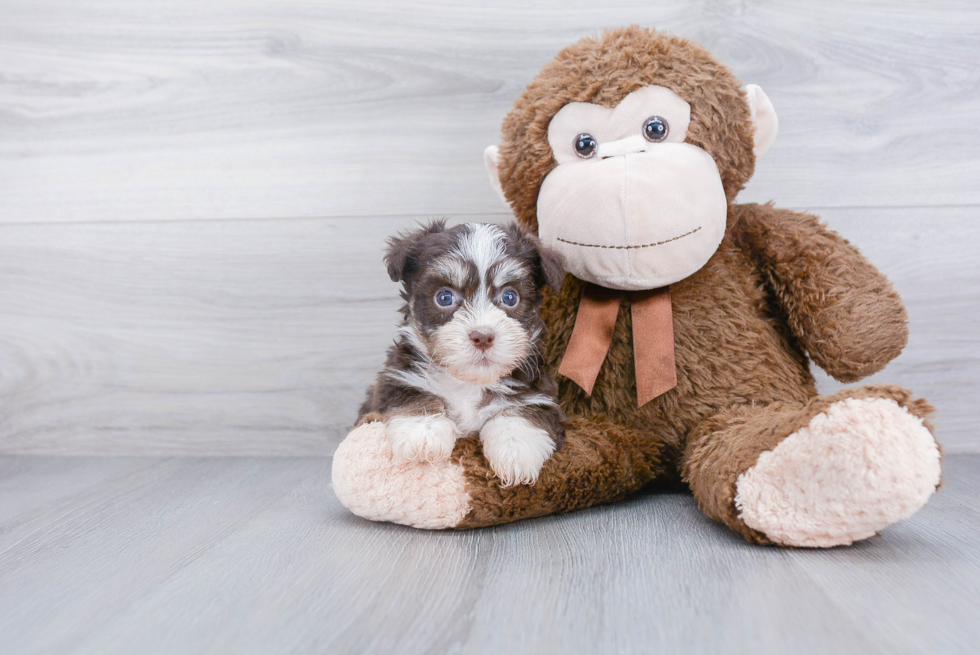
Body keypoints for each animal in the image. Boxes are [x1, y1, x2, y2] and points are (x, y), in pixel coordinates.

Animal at [358, 220, 568, 486]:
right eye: (444, 297)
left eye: (510, 297)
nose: (483, 336)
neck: (468, 383)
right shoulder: (396, 377)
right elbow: (413, 394)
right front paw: (423, 431)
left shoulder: (540, 394)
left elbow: (524, 412)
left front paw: (515, 449)